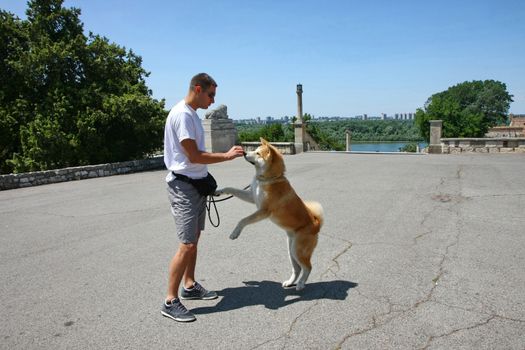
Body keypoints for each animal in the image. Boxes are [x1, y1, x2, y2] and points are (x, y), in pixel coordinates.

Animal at [215, 138, 322, 292]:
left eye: (258, 153)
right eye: (255, 150)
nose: (244, 152)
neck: (267, 179)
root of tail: (316, 223)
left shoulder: (263, 211)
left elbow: (243, 220)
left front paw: (235, 233)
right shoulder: (252, 197)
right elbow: (232, 189)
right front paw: (219, 190)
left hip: (298, 250)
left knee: (308, 267)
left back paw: (301, 284)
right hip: (291, 250)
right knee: (297, 269)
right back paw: (290, 282)